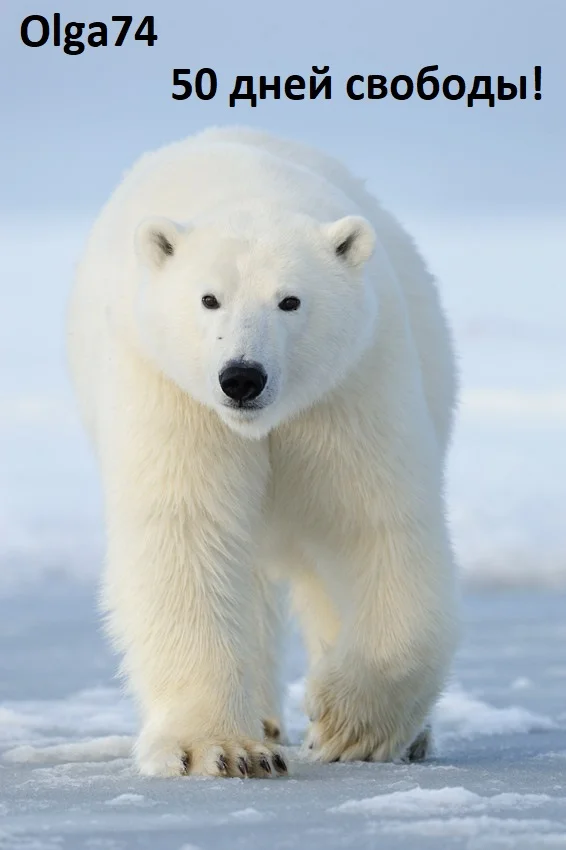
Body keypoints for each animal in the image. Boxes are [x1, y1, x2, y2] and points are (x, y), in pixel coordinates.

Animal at [67, 125, 459, 779]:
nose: (242, 378)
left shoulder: (346, 387)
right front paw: (219, 748)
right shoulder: (175, 393)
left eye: (290, 301)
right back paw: (264, 719)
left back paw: (411, 736)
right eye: (209, 299)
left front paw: (347, 725)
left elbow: (372, 522)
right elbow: (188, 533)